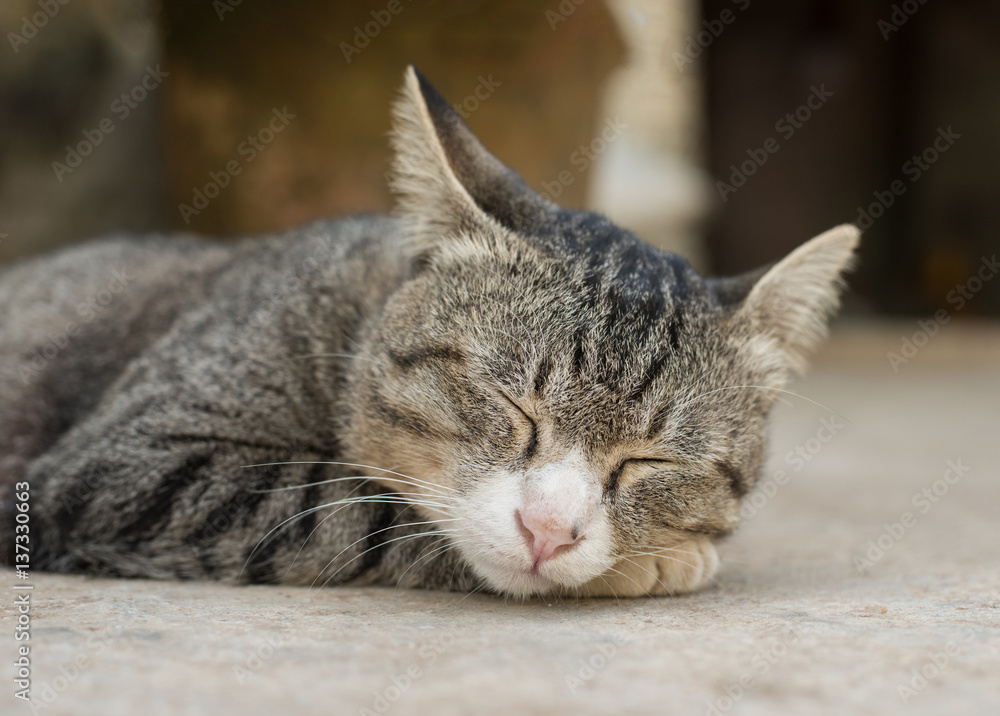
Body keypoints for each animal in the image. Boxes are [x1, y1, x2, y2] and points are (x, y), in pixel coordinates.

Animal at [0, 68, 860, 600]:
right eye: (510, 407)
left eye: (650, 460)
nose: (549, 530)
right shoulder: (131, 463)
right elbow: (353, 510)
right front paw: (656, 562)